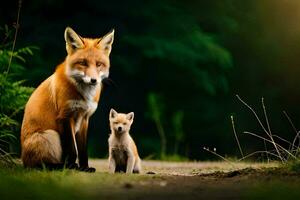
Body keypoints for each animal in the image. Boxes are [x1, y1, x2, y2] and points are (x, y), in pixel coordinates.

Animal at [19, 27, 113, 172]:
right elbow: (72, 149)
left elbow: (82, 150)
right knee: (39, 166)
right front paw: (71, 166)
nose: (93, 80)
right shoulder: (65, 116)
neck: (84, 96)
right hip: (51, 134)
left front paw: (84, 167)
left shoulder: (85, 118)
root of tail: (23, 160)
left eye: (99, 64)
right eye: (83, 63)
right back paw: (59, 166)